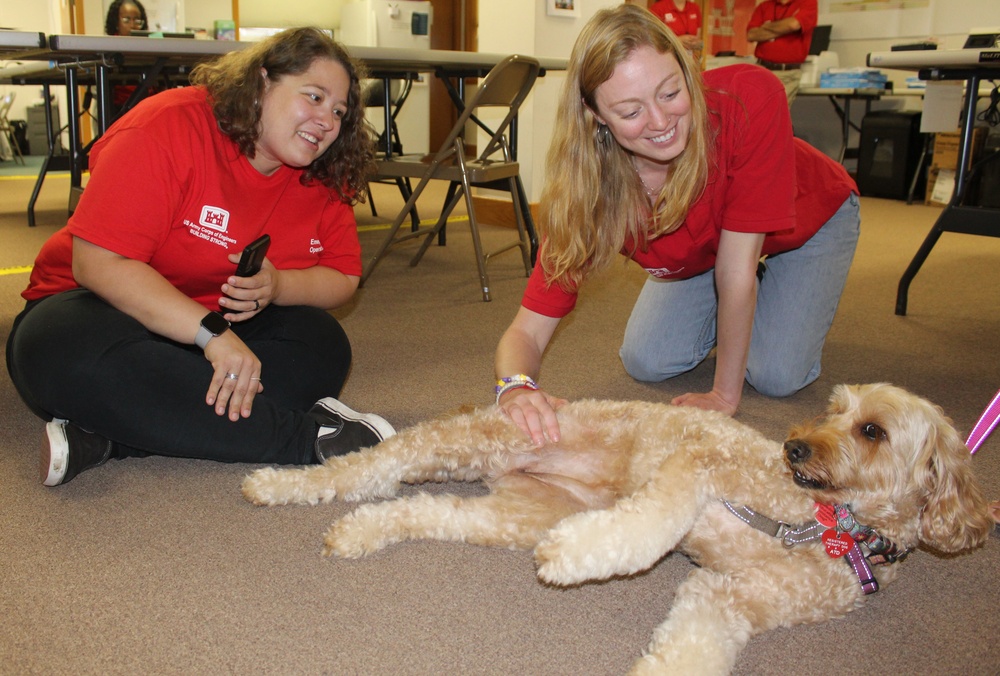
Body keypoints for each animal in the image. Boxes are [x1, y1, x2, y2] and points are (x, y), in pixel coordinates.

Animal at [242, 382, 992, 672]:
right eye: (835, 409)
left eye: (872, 430)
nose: (795, 447)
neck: (831, 527)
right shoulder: (699, 464)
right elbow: (646, 525)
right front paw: (582, 554)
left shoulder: (727, 599)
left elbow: (690, 651)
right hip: (466, 444)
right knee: (365, 467)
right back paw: (278, 484)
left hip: (504, 513)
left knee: (412, 508)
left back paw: (358, 533)